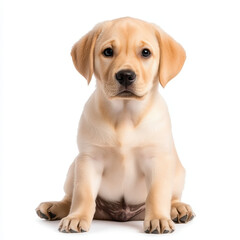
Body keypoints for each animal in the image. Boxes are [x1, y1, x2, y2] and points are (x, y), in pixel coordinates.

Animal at [36, 17, 195, 234]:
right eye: (108, 52)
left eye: (146, 52)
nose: (126, 75)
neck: (125, 115)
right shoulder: (89, 159)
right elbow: (83, 194)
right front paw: (77, 217)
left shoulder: (158, 159)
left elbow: (157, 193)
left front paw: (158, 219)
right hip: (74, 166)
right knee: (70, 197)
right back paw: (55, 207)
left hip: (178, 171)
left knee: (173, 196)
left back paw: (178, 209)